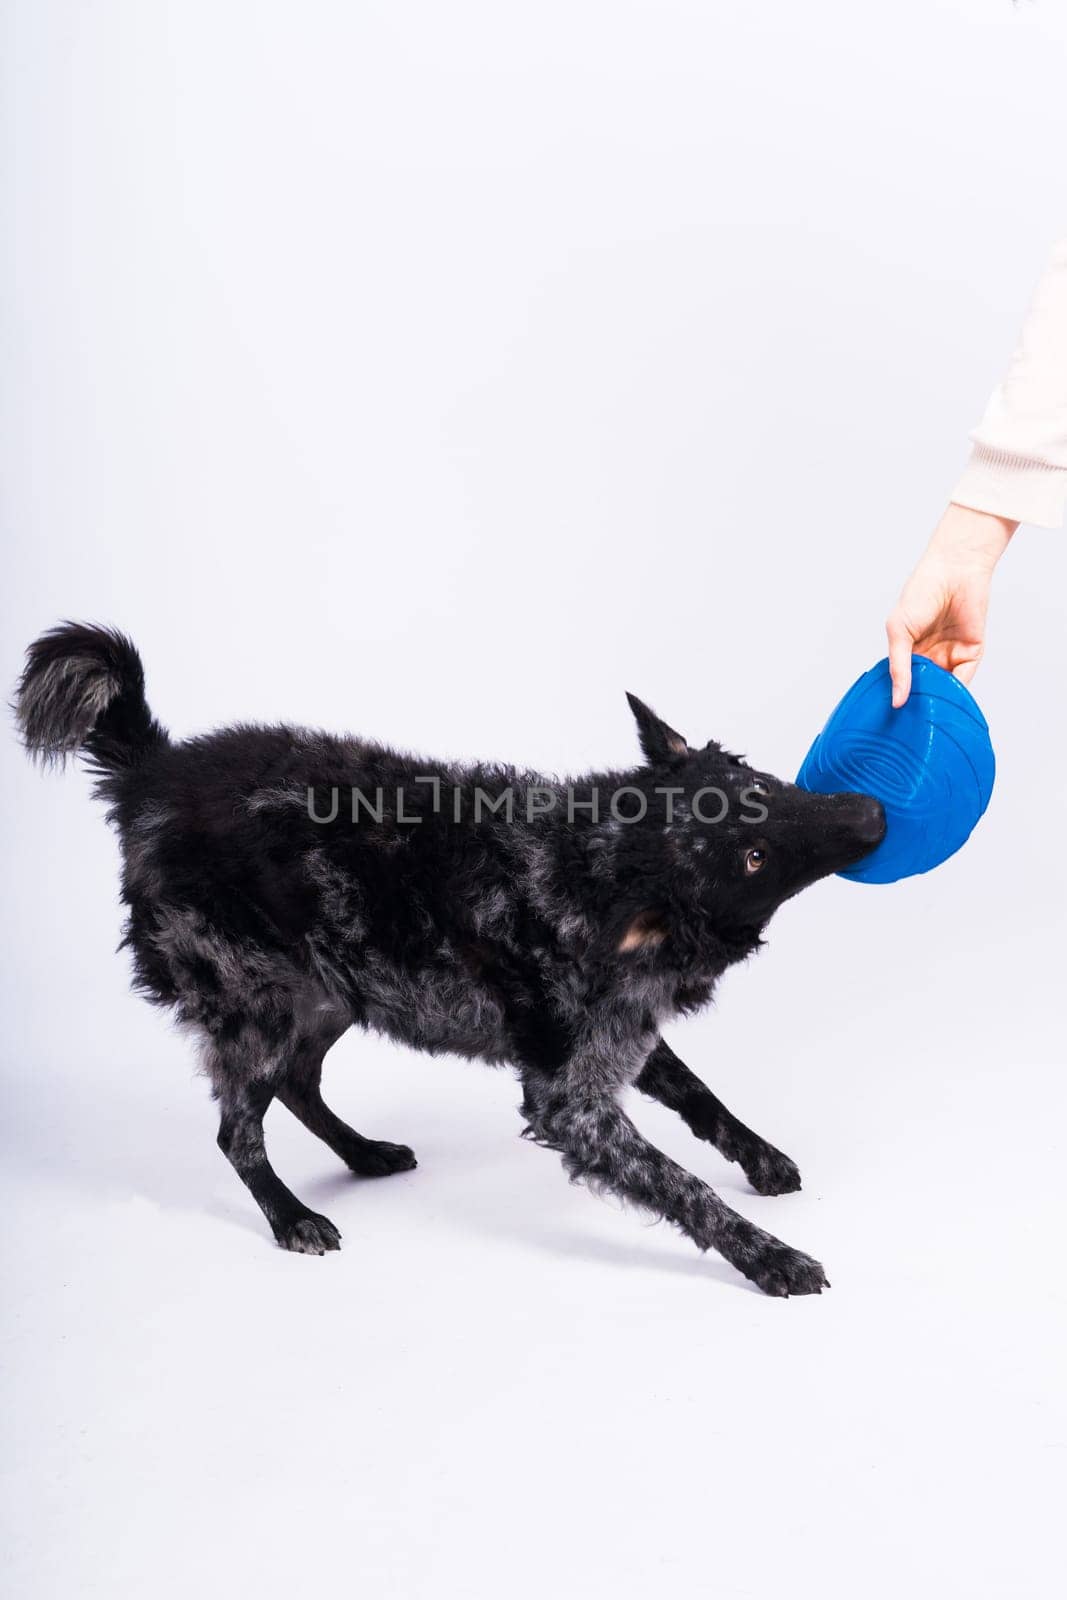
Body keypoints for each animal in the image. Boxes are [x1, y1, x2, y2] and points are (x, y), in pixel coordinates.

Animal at [14, 617, 883, 1292]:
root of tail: (151, 773)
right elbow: (682, 1186)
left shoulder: (619, 1034)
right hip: (254, 1004)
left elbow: (700, 1095)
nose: (872, 813)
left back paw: (362, 1154)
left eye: (759, 785)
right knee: (239, 1132)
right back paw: (292, 1216)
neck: (587, 864)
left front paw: (759, 1158)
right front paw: (767, 1256)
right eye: (752, 861)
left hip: (334, 989)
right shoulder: (569, 1102)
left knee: (298, 1082)